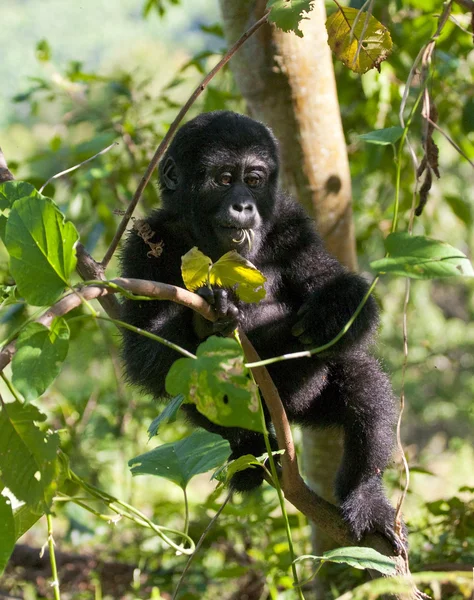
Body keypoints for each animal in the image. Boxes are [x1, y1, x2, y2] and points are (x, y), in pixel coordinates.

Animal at [122, 110, 404, 552]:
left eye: (253, 179)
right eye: (223, 178)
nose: (244, 205)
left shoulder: (292, 223)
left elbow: (341, 291)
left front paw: (331, 311)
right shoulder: (143, 244)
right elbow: (145, 351)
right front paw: (209, 320)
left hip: (311, 404)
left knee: (363, 381)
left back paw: (365, 495)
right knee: (199, 388)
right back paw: (249, 448)